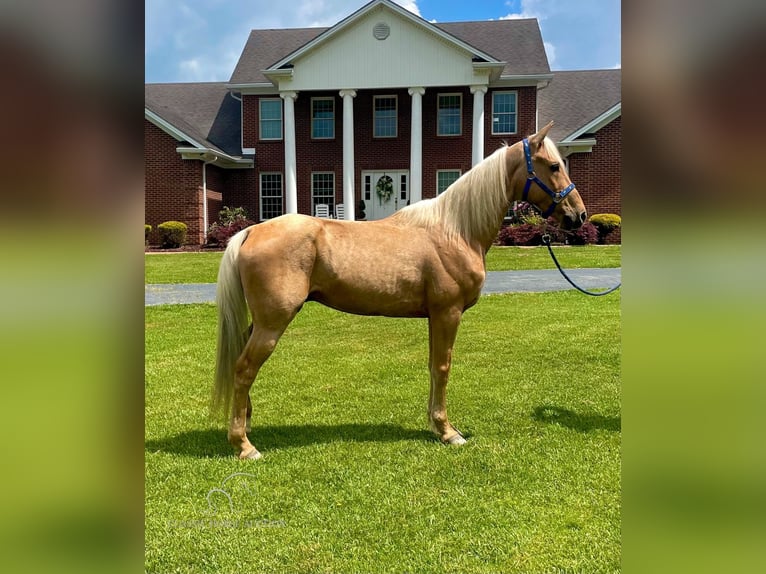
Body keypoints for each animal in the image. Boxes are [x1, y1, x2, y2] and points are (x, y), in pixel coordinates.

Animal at [213, 121, 584, 460]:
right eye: (553, 166)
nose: (578, 216)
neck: (455, 230)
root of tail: (251, 232)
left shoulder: (436, 316)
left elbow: (433, 366)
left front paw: (436, 425)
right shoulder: (448, 313)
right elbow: (443, 367)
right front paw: (448, 432)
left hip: (261, 323)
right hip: (273, 323)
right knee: (244, 369)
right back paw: (244, 446)